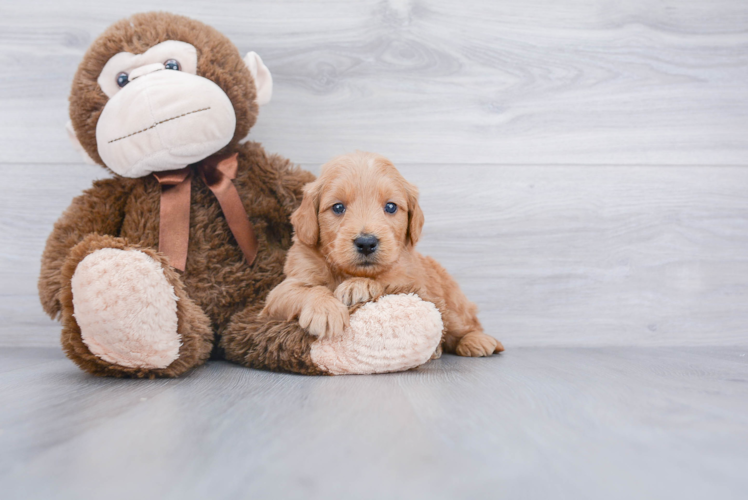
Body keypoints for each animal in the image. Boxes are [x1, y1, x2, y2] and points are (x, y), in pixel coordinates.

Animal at [262, 150, 502, 358]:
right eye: (338, 207)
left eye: (391, 207)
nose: (366, 243)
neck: (345, 271)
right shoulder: (279, 293)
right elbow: (309, 289)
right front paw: (326, 310)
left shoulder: (413, 281)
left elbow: (387, 281)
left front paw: (359, 285)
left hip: (452, 305)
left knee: (464, 325)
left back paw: (477, 341)